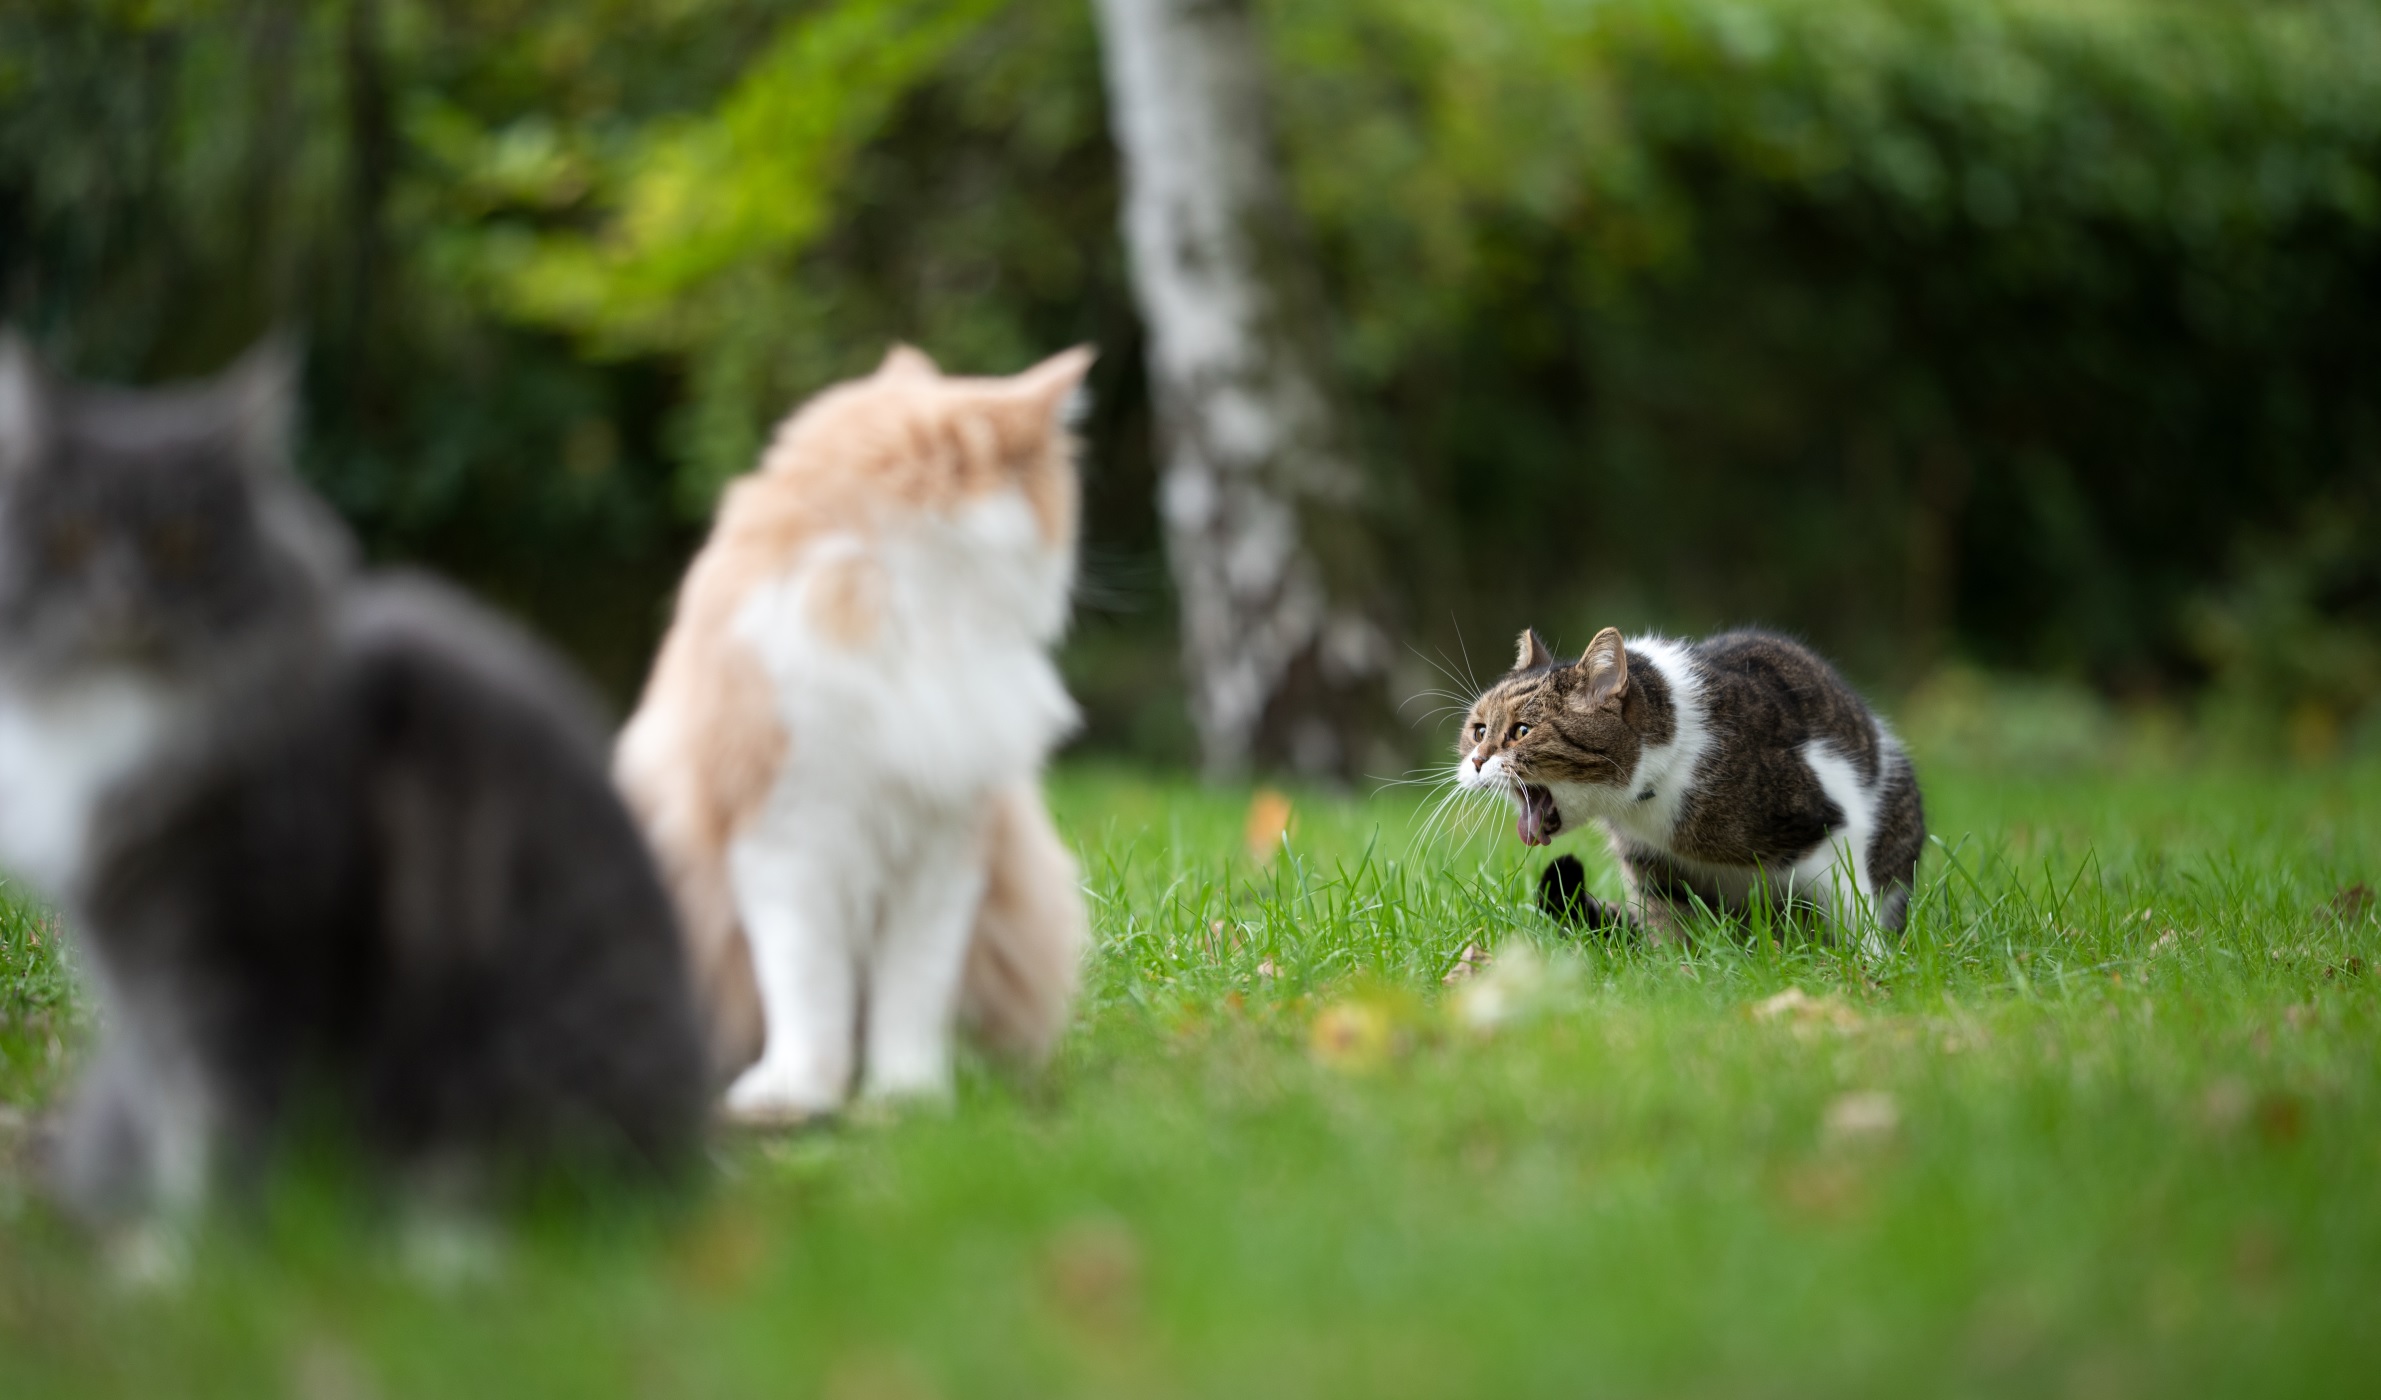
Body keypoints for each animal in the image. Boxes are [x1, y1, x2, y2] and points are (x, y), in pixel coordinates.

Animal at [614, 345, 1095, 1119]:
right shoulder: (788, 842)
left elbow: (912, 995)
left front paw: (907, 1099)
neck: (902, 601)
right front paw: (797, 1093)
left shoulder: (945, 852)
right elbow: (808, 988)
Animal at [1447, 633, 1933, 942]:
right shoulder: (1650, 864)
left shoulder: (1832, 823)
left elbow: (1853, 911)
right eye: (1478, 730)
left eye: (1522, 731)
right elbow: (1671, 926)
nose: (1476, 762)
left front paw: (1870, 967)